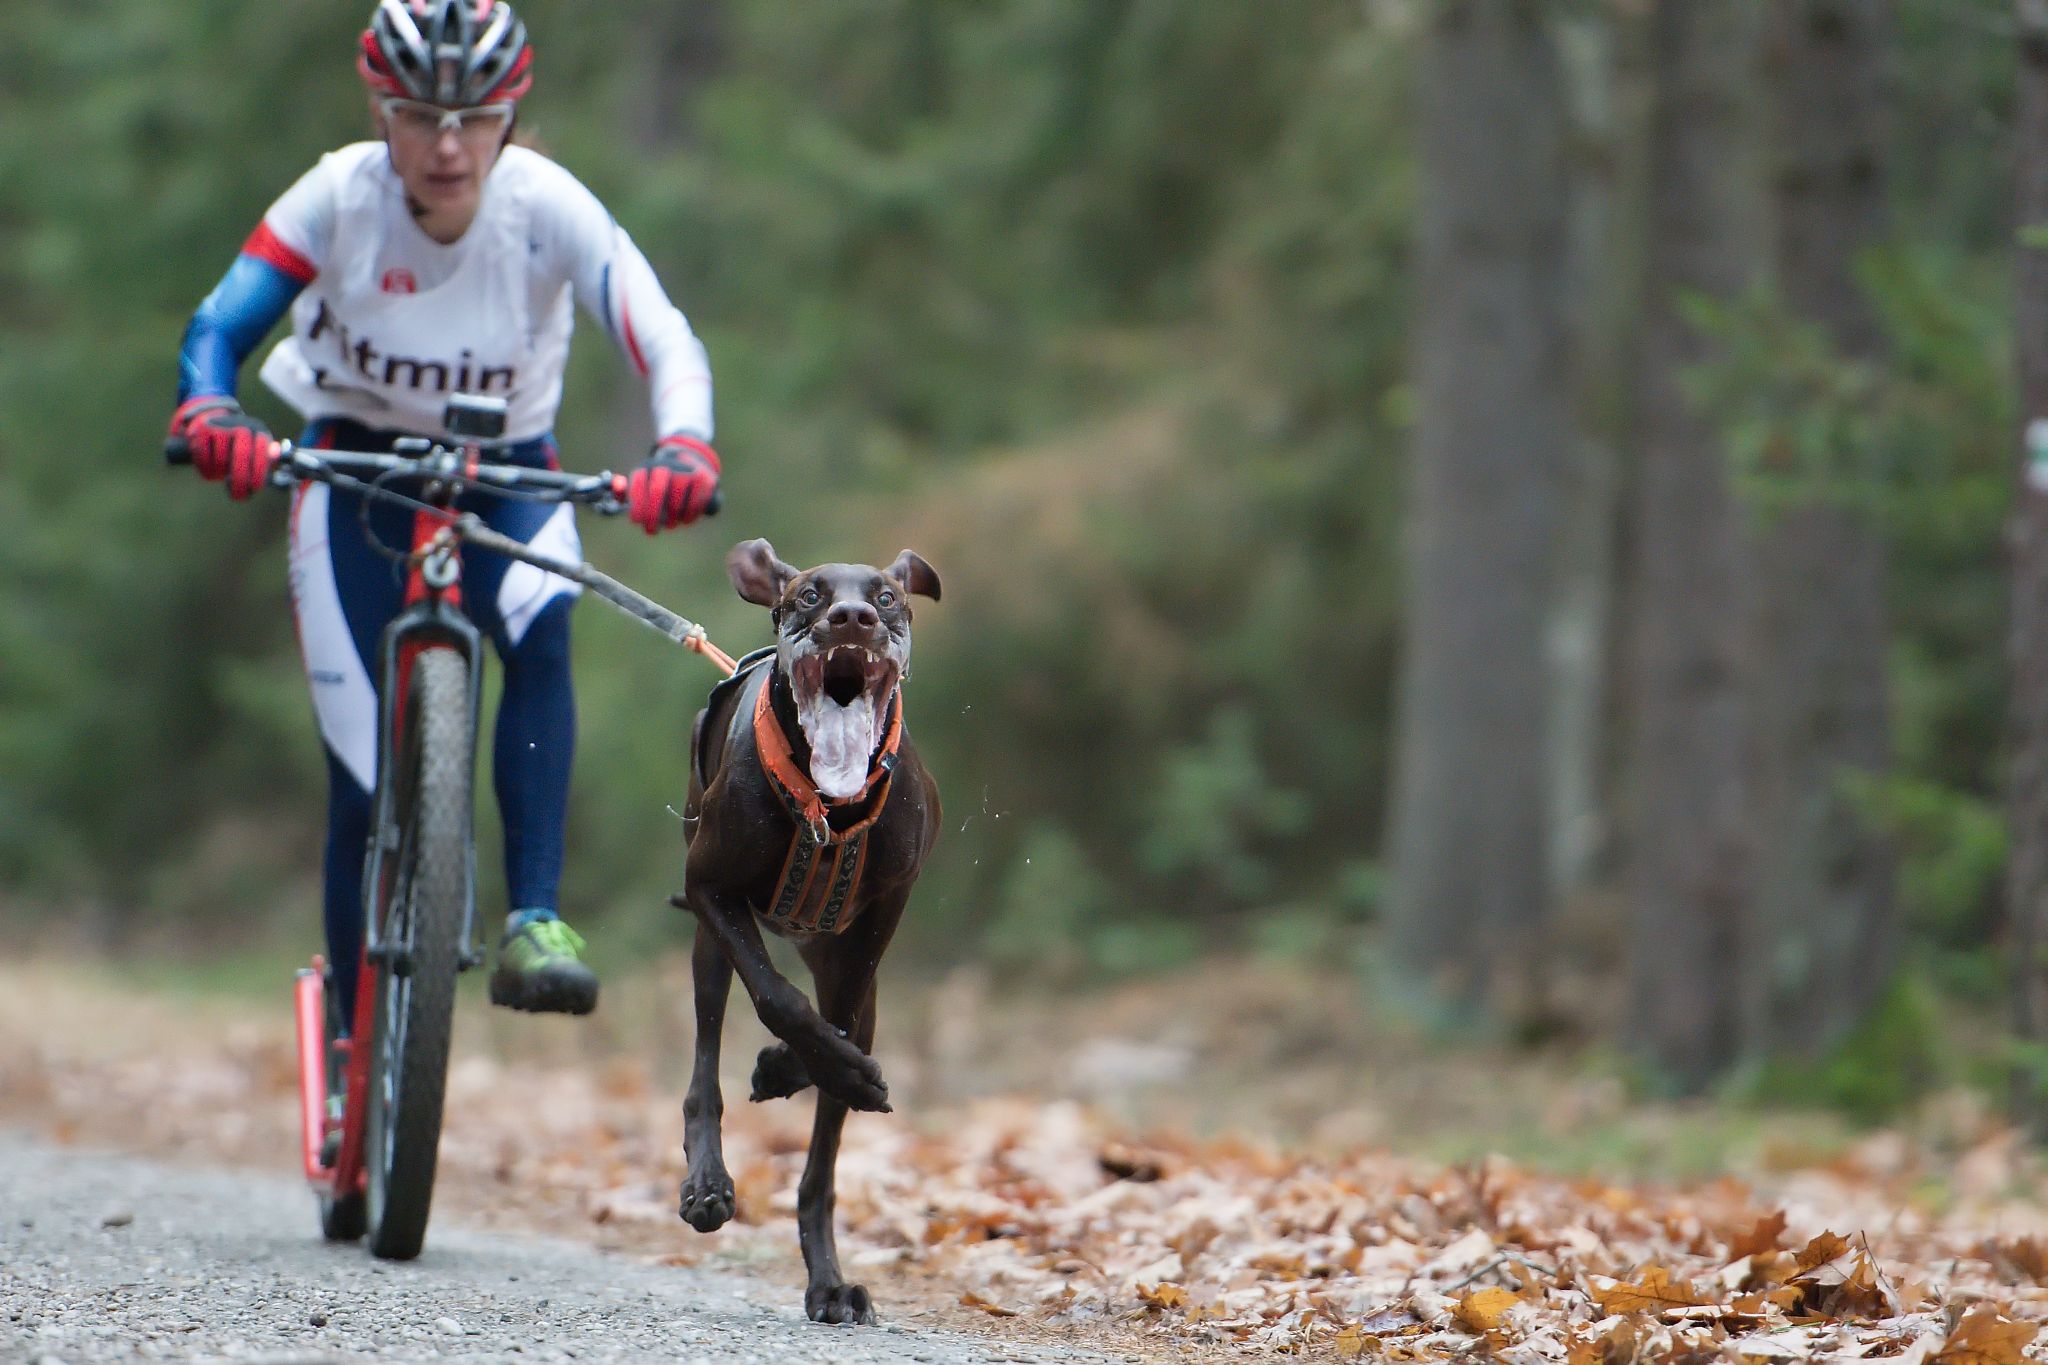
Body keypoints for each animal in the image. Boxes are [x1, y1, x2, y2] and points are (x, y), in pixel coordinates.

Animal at [671, 536, 942, 1326]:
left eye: (886, 596)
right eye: (809, 595)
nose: (852, 618)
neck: (830, 806)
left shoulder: (883, 915)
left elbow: (836, 1027)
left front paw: (808, 1067)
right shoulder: (711, 889)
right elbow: (778, 999)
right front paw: (800, 1060)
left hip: (844, 963)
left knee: (819, 1166)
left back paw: (829, 1283)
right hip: (709, 942)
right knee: (707, 1057)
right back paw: (708, 1181)